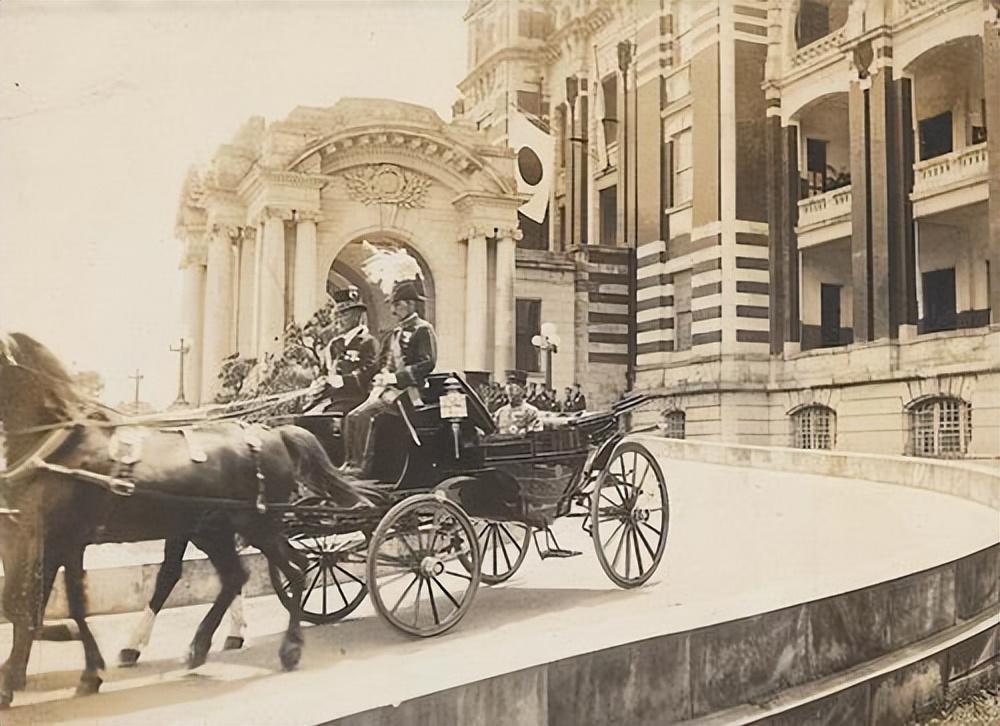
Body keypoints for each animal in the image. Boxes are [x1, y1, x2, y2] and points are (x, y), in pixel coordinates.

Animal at [0, 332, 370, 707]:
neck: (63, 443)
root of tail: (274, 434)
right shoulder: (52, 539)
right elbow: (42, 604)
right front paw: (38, 668)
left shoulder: (59, 538)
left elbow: (35, 603)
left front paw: (32, 671)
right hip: (215, 530)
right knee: (237, 575)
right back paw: (200, 645)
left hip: (256, 526)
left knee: (294, 568)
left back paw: (288, 646)